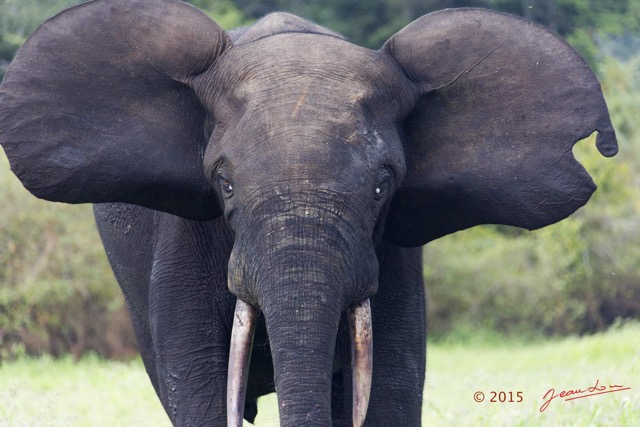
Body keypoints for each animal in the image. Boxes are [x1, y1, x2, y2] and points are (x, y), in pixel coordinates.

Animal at [1, 0, 620, 426]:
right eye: (224, 183)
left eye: (382, 187)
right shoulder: (182, 244)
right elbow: (198, 387)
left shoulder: (391, 256)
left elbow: (389, 394)